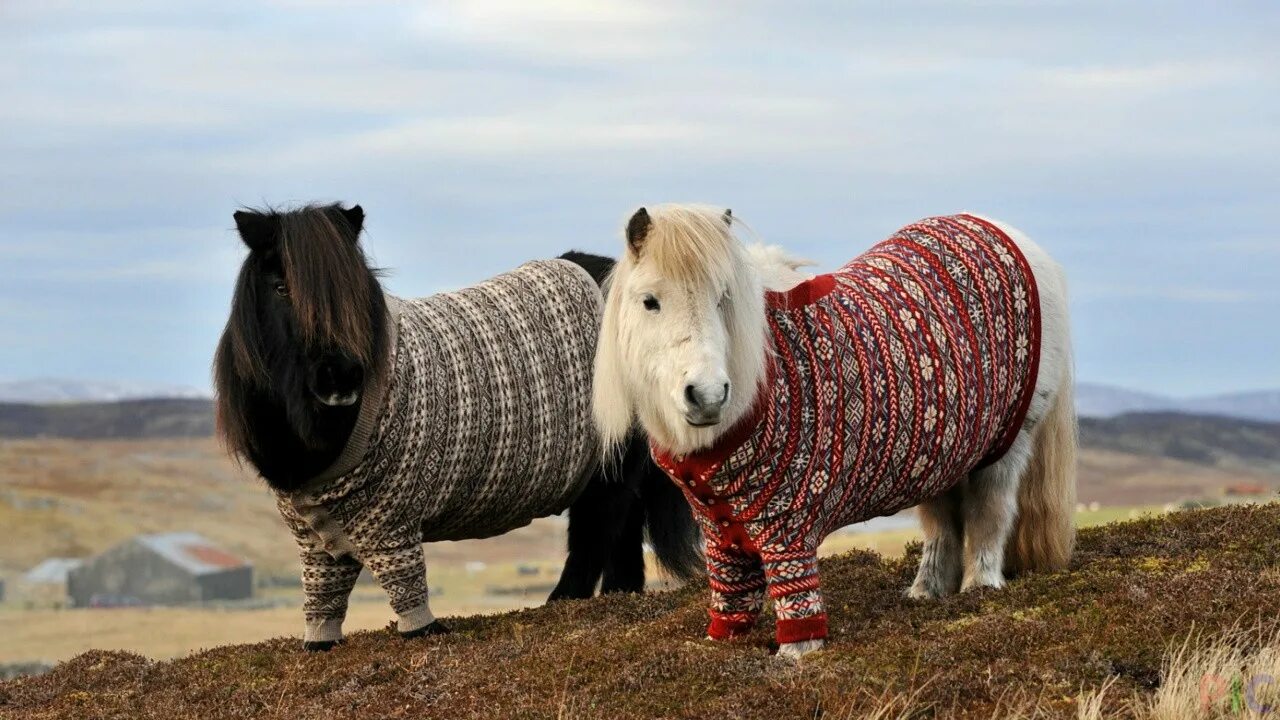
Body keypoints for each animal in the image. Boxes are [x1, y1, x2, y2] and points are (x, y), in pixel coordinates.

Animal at [217, 203, 701, 650]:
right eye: (280, 287)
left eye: (355, 290)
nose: (342, 377)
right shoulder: (315, 540)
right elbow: (323, 597)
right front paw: (320, 642)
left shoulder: (393, 525)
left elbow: (407, 589)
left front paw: (423, 631)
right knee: (622, 534)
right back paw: (618, 597)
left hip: (608, 468)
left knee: (595, 535)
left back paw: (563, 602)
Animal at [593, 202, 1075, 655]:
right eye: (650, 301)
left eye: (722, 297)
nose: (708, 395)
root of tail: (1007, 234)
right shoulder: (720, 533)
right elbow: (732, 598)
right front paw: (721, 645)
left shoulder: (789, 528)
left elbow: (796, 599)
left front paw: (795, 654)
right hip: (942, 453)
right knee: (942, 525)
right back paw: (926, 592)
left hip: (1008, 445)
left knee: (991, 512)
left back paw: (981, 588)